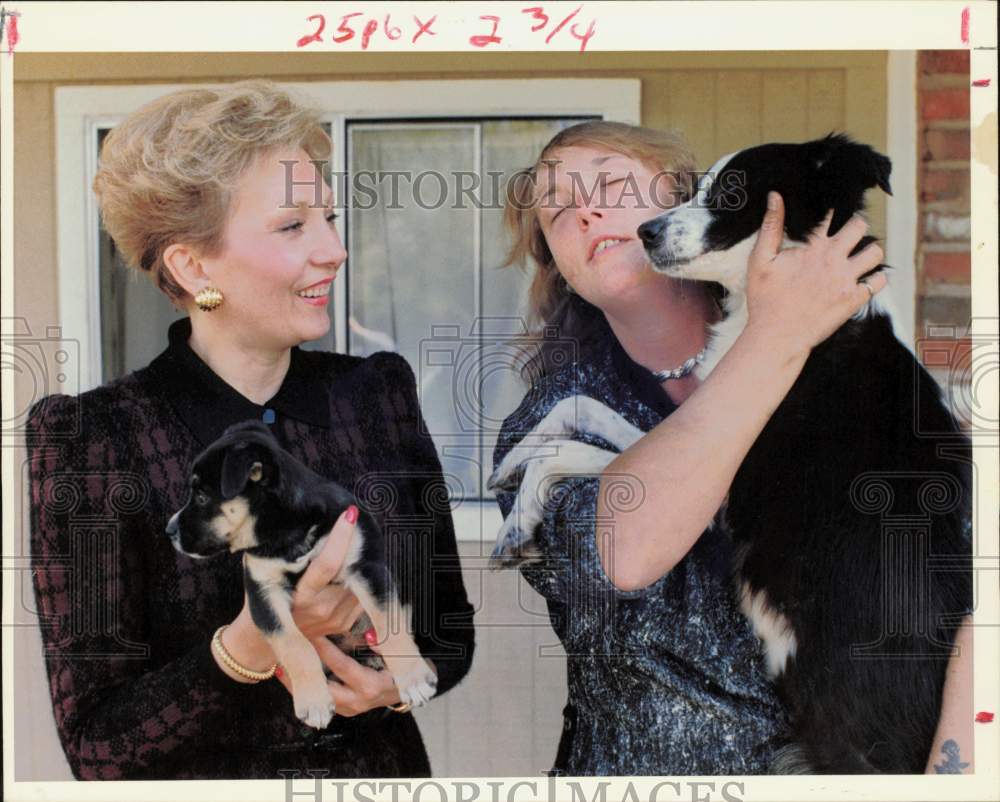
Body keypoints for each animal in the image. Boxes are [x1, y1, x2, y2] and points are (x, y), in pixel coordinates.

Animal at [166, 422, 436, 728]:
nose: (168, 530)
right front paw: (313, 700)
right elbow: (294, 643)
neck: (288, 531)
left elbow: (387, 622)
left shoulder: (366, 567)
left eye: (201, 498)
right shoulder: (264, 590)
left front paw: (413, 678)